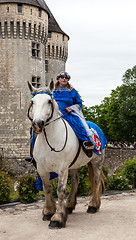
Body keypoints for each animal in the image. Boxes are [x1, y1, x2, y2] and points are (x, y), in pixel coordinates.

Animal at [27, 80, 105, 229]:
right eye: (32, 101)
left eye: (49, 101)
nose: (38, 124)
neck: (49, 140)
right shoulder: (42, 168)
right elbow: (47, 188)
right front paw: (49, 211)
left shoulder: (62, 168)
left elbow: (60, 191)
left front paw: (57, 218)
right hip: (73, 165)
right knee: (75, 181)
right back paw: (69, 206)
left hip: (97, 161)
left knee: (96, 180)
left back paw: (93, 205)